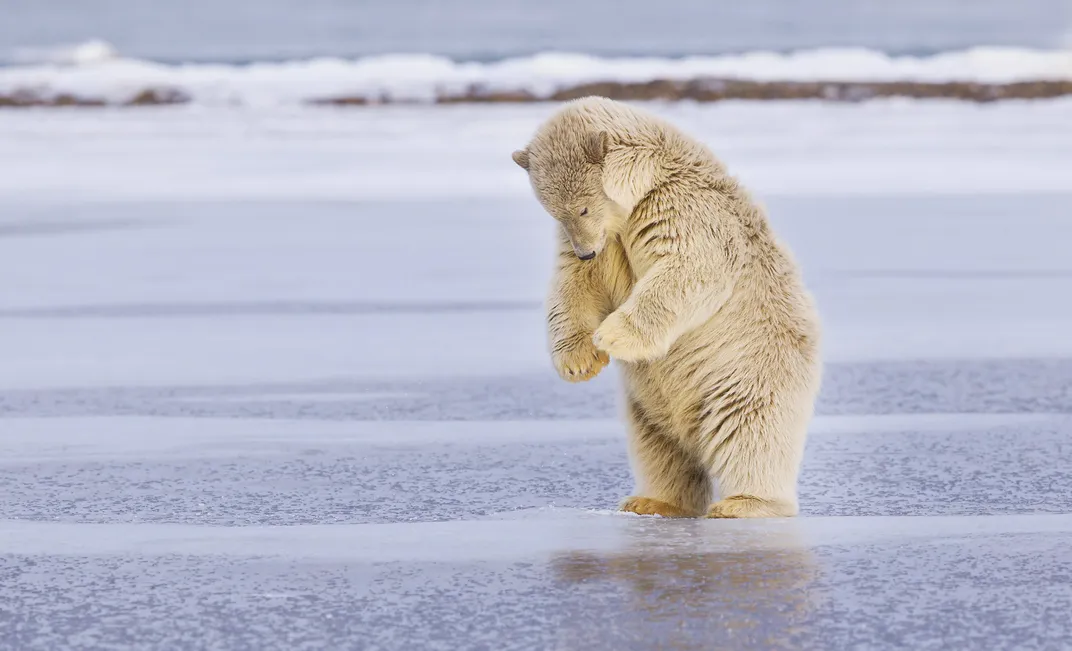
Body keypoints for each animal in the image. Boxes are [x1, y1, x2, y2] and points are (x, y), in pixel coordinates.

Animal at [510, 96, 819, 519]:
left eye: (583, 208)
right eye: (555, 211)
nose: (586, 250)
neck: (650, 177)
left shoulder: (683, 208)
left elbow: (691, 268)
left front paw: (610, 336)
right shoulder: (608, 241)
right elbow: (577, 283)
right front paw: (579, 361)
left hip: (747, 371)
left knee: (750, 430)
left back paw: (743, 503)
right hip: (644, 402)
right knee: (658, 443)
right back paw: (651, 500)